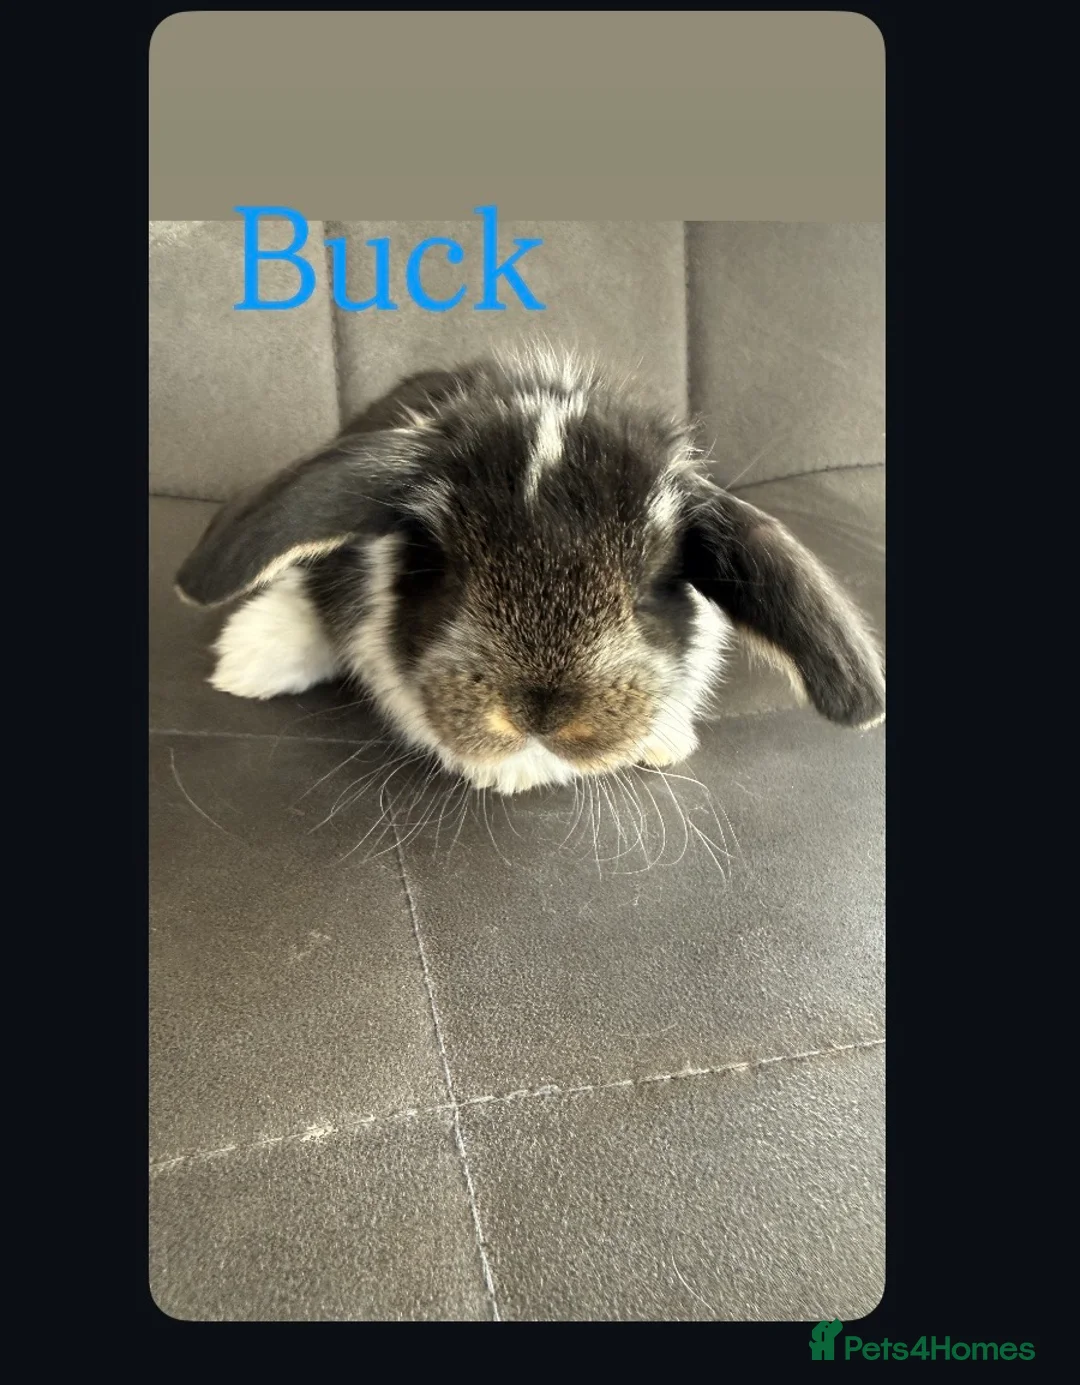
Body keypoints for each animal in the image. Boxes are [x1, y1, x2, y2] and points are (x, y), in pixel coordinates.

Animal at [175, 345, 885, 796]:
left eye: (649, 586)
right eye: (448, 570)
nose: (538, 717)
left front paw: (664, 742)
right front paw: (511, 772)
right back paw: (246, 662)